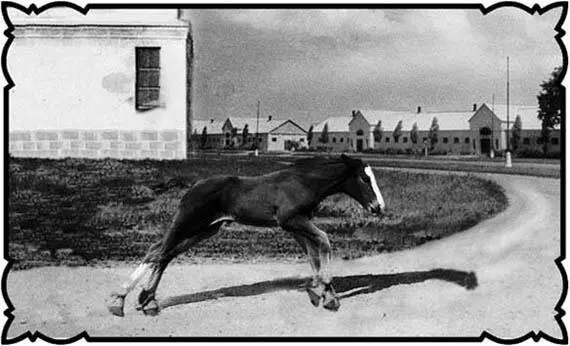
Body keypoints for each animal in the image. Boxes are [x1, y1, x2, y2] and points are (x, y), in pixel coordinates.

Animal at [107, 154, 384, 316]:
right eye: (364, 178)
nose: (379, 207)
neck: (303, 181)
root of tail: (191, 188)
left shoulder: (297, 224)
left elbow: (312, 254)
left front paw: (322, 293)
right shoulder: (291, 221)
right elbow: (323, 242)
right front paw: (327, 293)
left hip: (205, 229)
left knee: (162, 253)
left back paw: (143, 300)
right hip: (188, 223)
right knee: (158, 251)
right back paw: (124, 300)